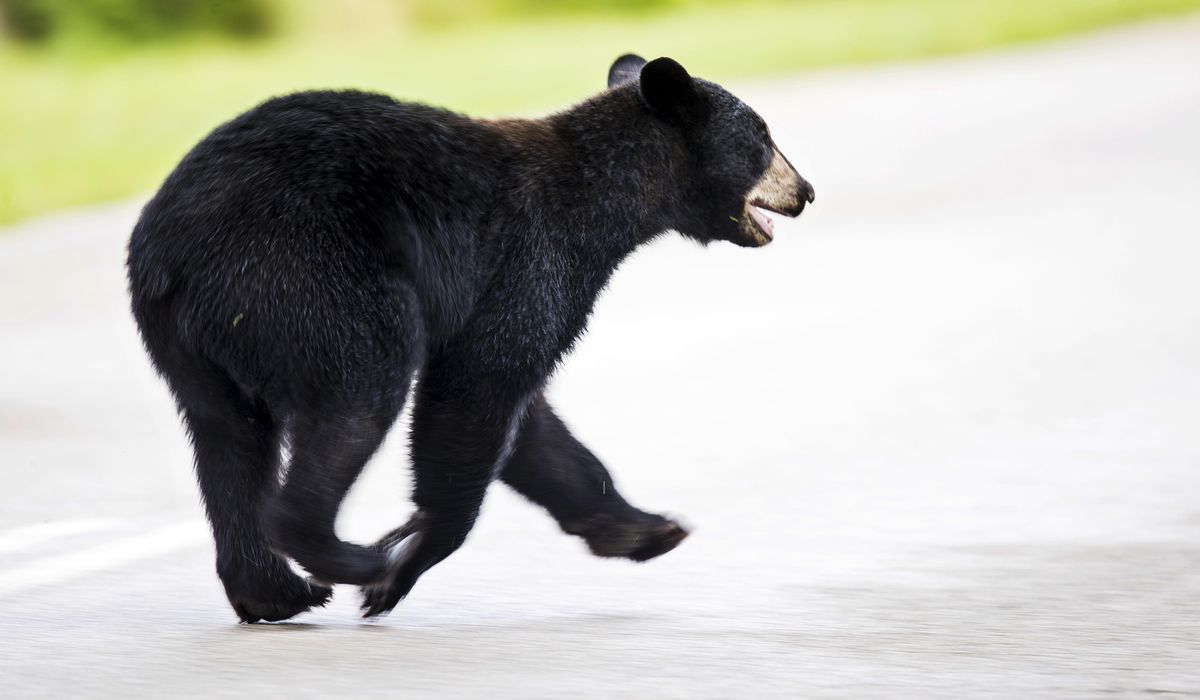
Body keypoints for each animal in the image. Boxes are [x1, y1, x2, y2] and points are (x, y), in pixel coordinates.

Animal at [126, 56, 816, 624]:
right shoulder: (531, 260)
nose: (806, 191)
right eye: (763, 138)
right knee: (358, 393)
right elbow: (477, 390)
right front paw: (402, 569)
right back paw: (347, 559)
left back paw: (272, 591)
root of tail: (170, 246)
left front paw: (643, 528)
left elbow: (532, 425)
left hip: (195, 341)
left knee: (228, 438)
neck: (604, 201)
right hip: (308, 278)